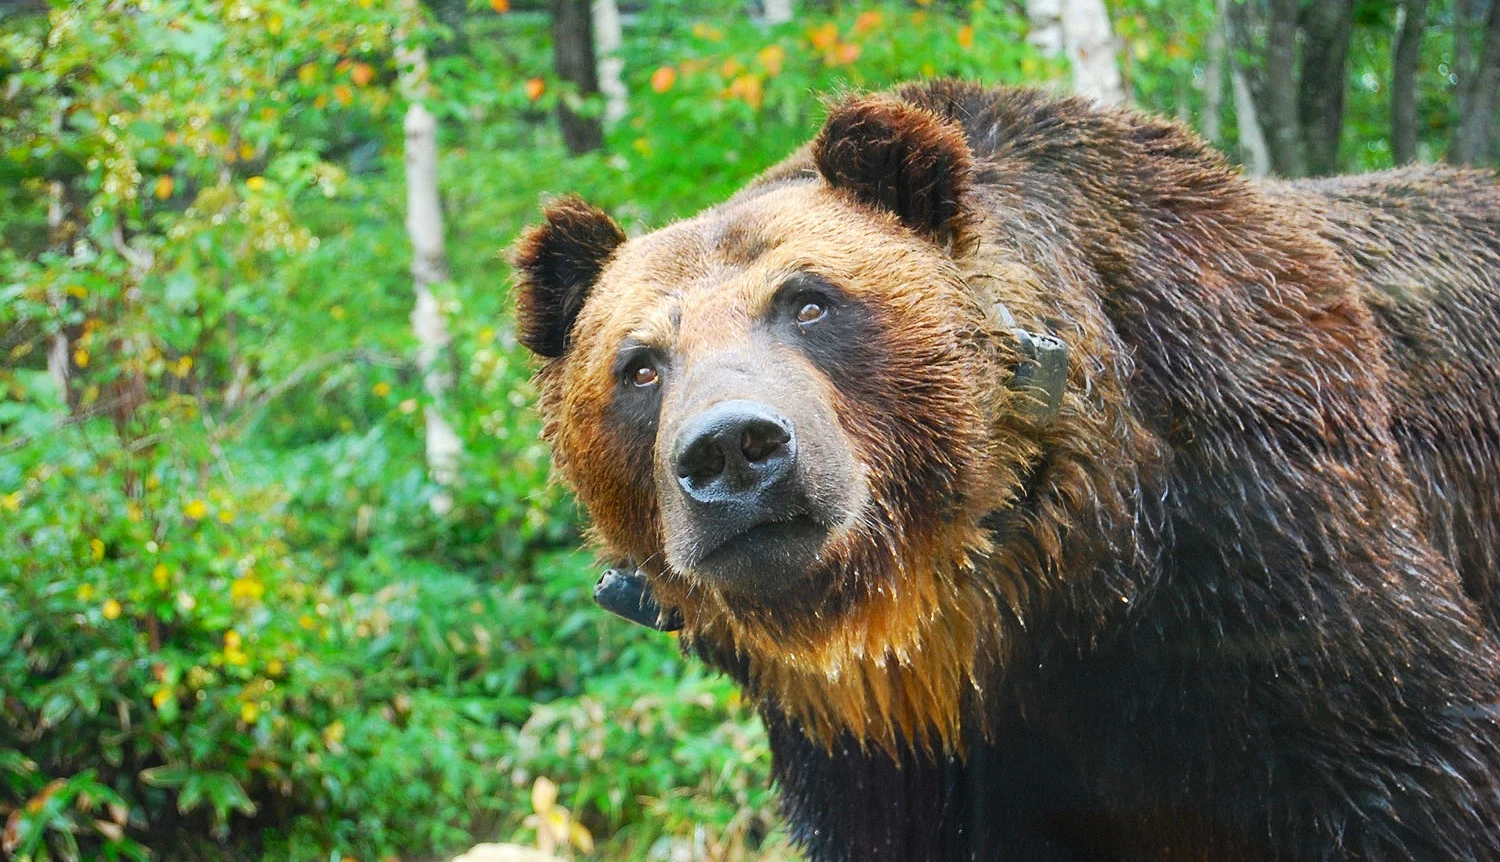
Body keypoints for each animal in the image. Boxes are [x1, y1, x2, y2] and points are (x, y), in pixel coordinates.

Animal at [511, 80, 1500, 861]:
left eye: (809, 301)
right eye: (640, 365)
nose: (732, 450)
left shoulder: (1268, 548)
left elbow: (1425, 762)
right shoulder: (889, 760)